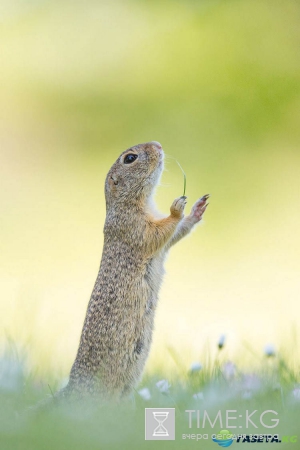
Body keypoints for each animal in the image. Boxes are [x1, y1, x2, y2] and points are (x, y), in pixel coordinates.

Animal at [60, 141, 209, 400]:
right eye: (130, 158)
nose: (158, 144)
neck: (135, 202)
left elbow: (174, 234)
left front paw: (197, 209)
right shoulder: (133, 226)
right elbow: (158, 233)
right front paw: (177, 209)